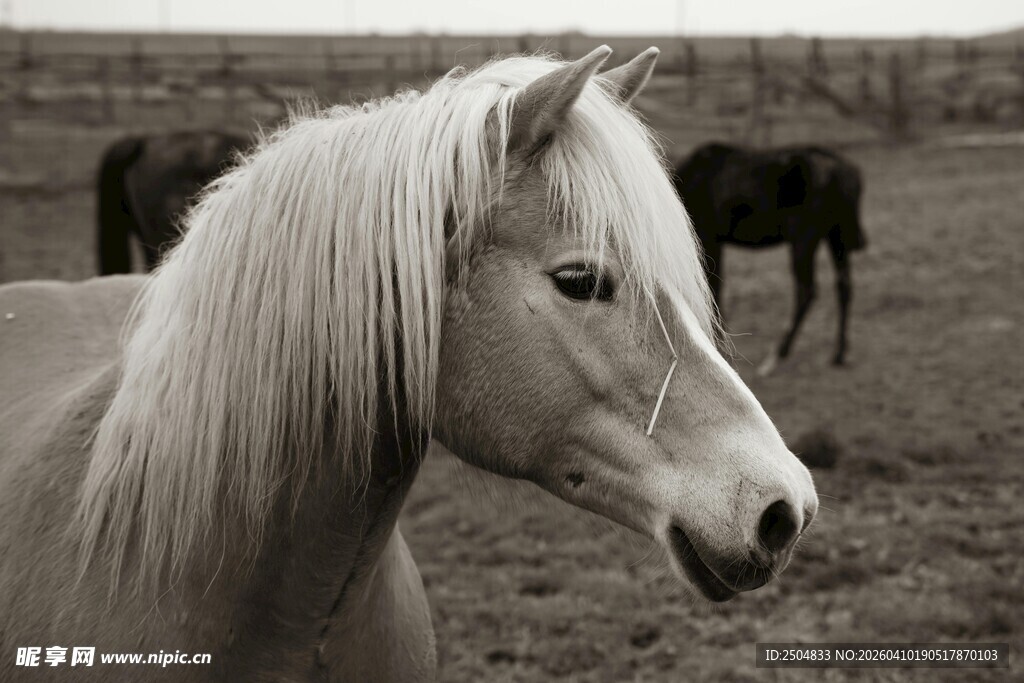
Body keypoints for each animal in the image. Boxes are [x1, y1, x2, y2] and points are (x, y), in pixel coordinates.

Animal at [672, 143, 866, 374]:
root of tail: (845, 173)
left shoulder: (708, 238)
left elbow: (713, 289)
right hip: (835, 237)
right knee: (843, 286)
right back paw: (839, 353)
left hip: (804, 238)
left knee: (807, 291)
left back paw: (778, 353)